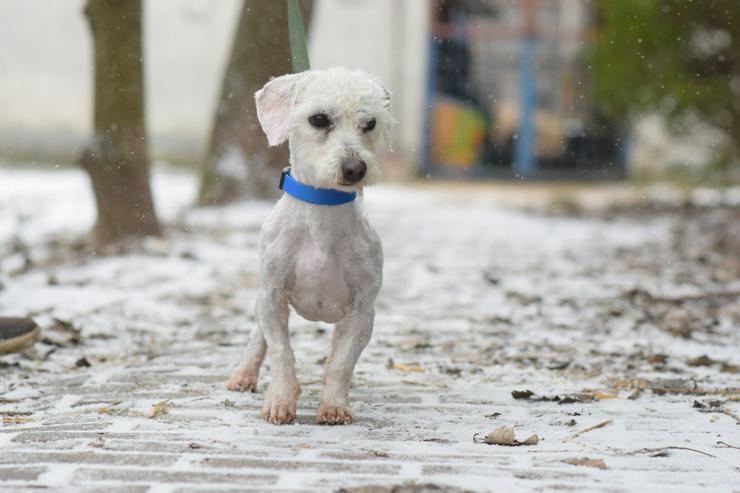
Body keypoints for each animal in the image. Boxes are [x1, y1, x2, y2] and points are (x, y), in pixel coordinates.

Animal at [227, 67, 394, 424]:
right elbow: (280, 351)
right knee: (256, 336)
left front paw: (334, 405)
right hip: (262, 295)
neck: (322, 211)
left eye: (370, 122)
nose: (355, 168)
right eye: (319, 119)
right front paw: (280, 401)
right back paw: (244, 375)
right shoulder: (273, 297)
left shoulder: (363, 310)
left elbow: (343, 362)